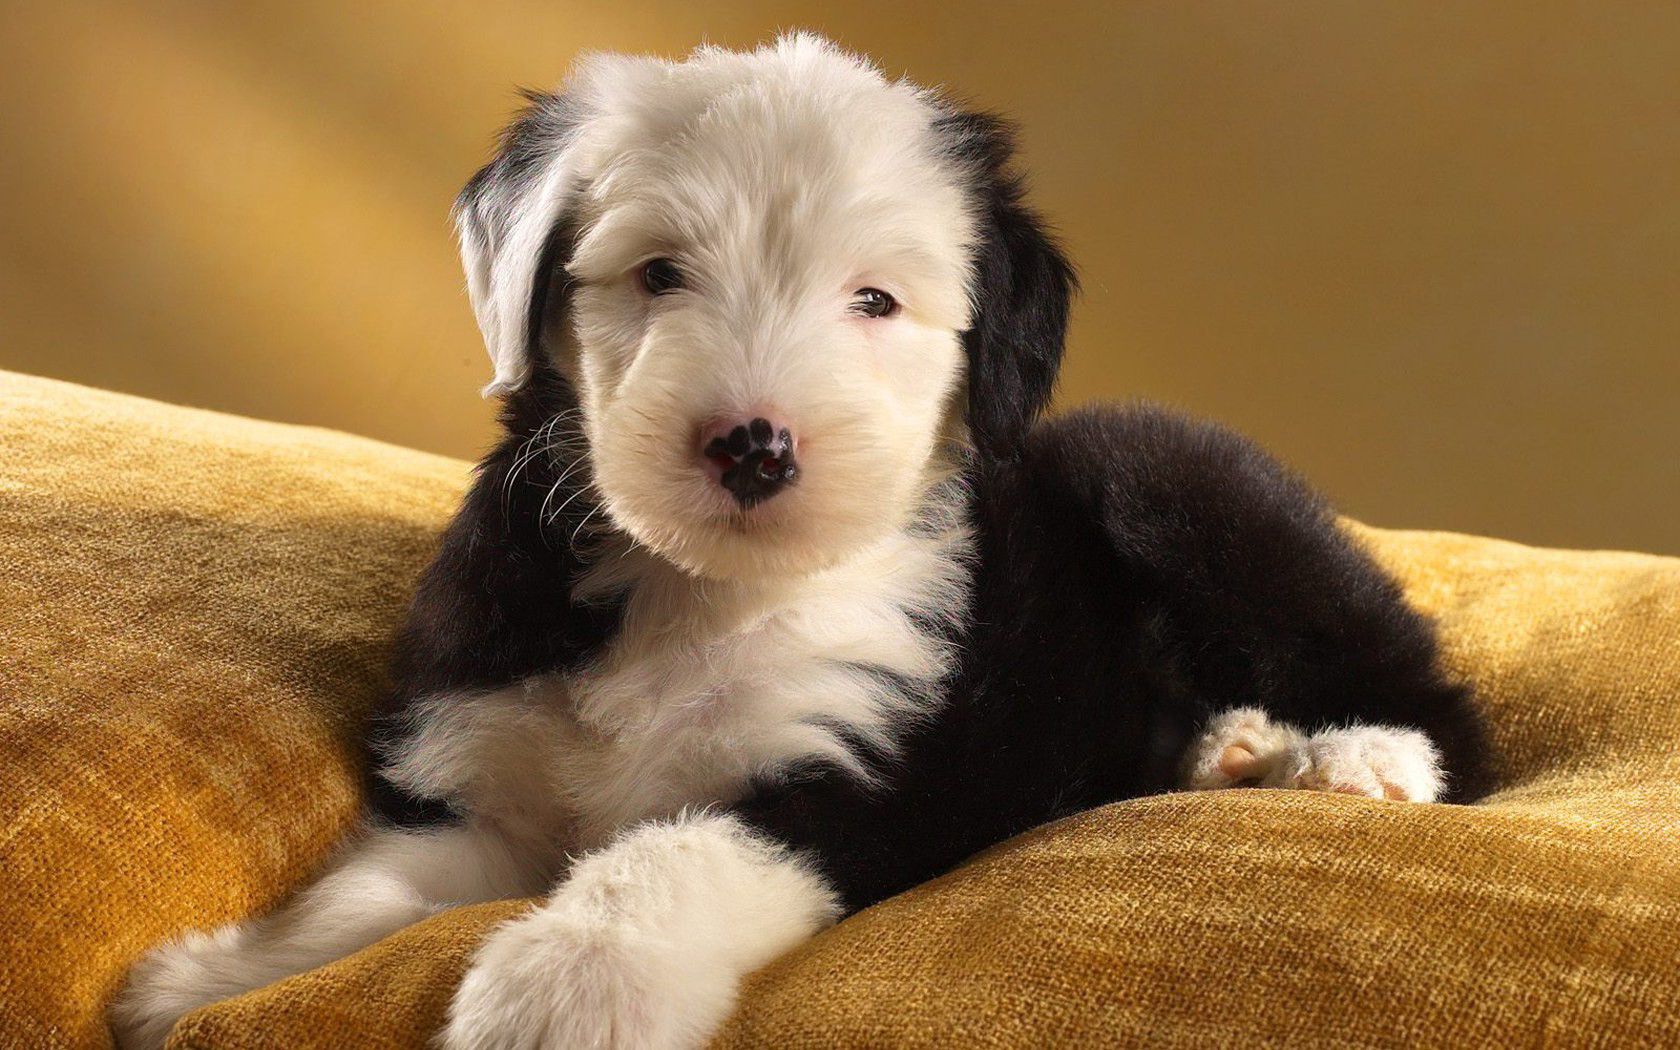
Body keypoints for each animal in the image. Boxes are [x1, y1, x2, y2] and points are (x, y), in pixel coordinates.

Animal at [111, 32, 1491, 1048]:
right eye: (660, 274)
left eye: (874, 300)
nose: (754, 448)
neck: (701, 595)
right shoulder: (482, 782)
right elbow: (365, 890)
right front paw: (207, 984)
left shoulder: (860, 780)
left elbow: (676, 854)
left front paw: (567, 987)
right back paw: (1233, 753)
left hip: (1169, 470)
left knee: (1443, 709)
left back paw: (1345, 758)